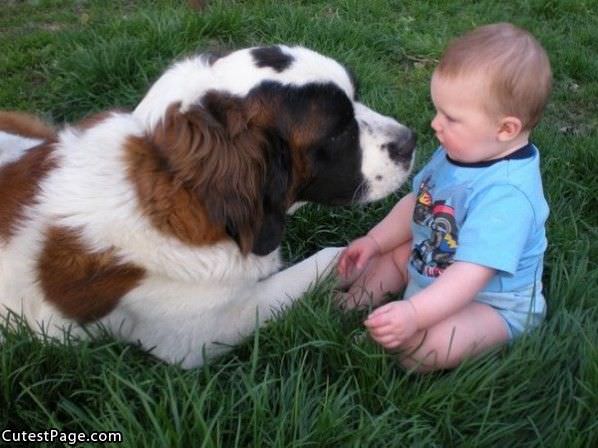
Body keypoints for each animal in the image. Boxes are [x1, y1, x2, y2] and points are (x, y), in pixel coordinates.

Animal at [0, 45, 418, 368]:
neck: (185, 196)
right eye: (338, 131)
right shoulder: (204, 332)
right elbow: (333, 254)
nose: (411, 140)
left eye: (356, 97)